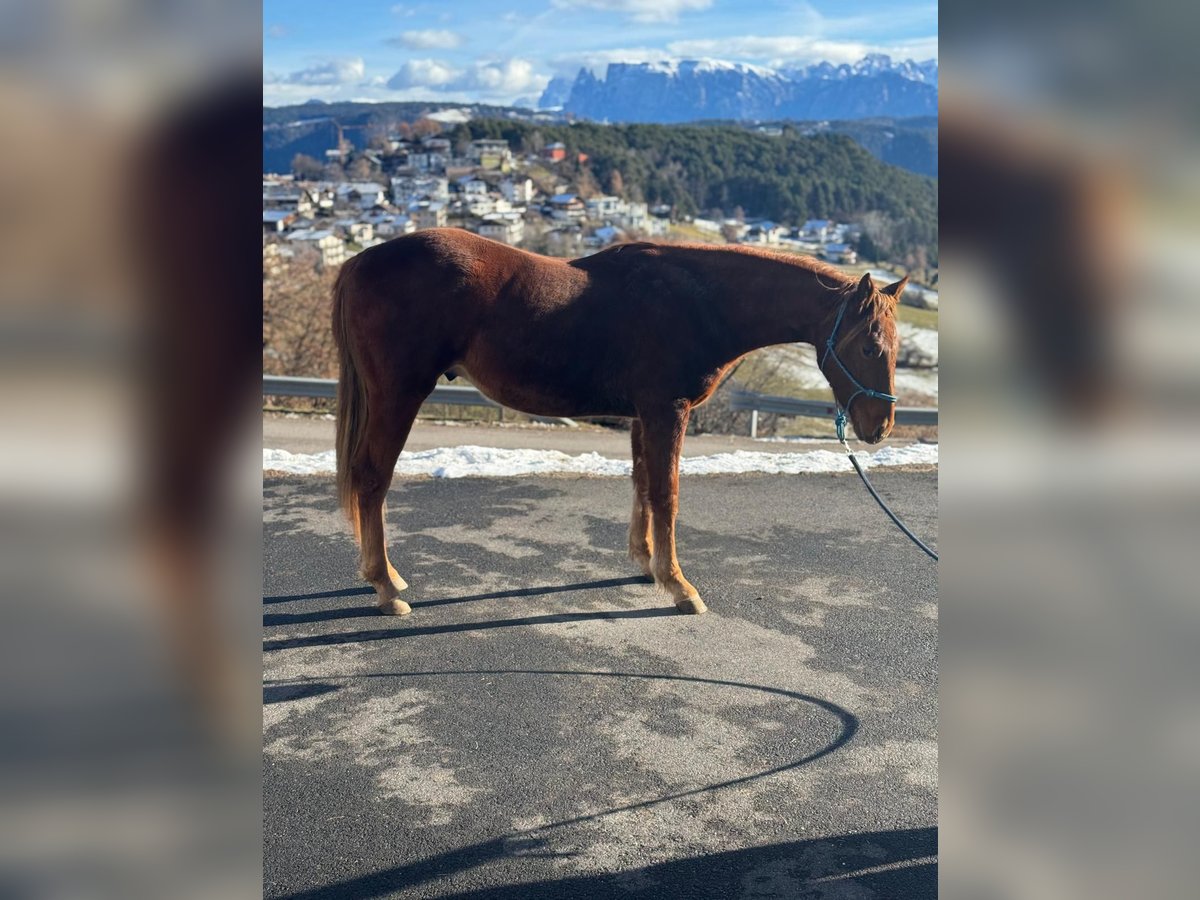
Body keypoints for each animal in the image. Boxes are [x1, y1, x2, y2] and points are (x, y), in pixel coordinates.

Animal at [333, 229, 902, 619]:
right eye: (870, 347)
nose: (880, 427)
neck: (700, 301)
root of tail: (363, 260)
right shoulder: (667, 411)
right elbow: (667, 493)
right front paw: (679, 586)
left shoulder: (642, 416)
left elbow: (643, 485)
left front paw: (647, 563)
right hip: (399, 395)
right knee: (372, 478)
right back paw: (385, 586)